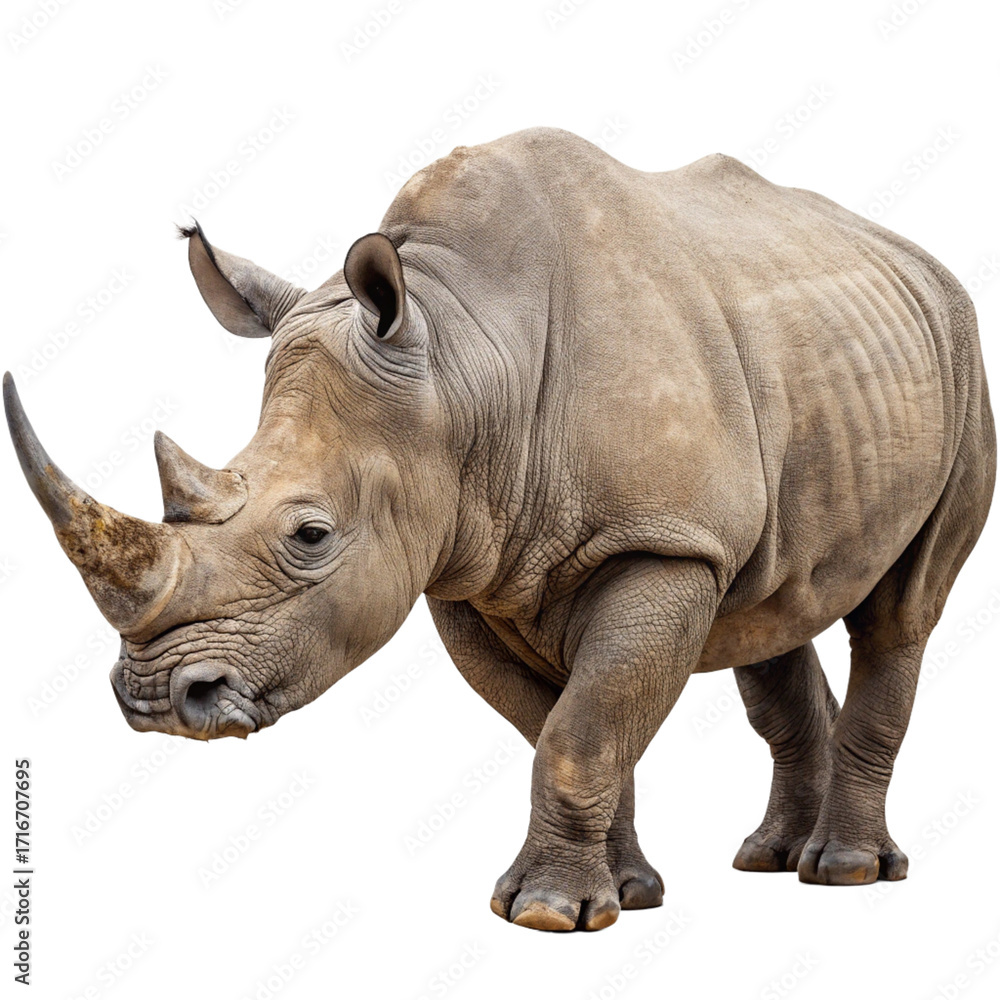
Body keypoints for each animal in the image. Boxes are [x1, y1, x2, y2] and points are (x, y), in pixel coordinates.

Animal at [5, 127, 995, 932]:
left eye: (311, 536)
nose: (158, 701)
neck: (462, 359)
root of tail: (917, 257)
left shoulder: (661, 541)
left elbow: (582, 729)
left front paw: (551, 915)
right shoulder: (462, 563)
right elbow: (560, 724)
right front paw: (620, 894)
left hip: (963, 358)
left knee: (899, 613)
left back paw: (846, 873)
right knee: (769, 607)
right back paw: (768, 859)